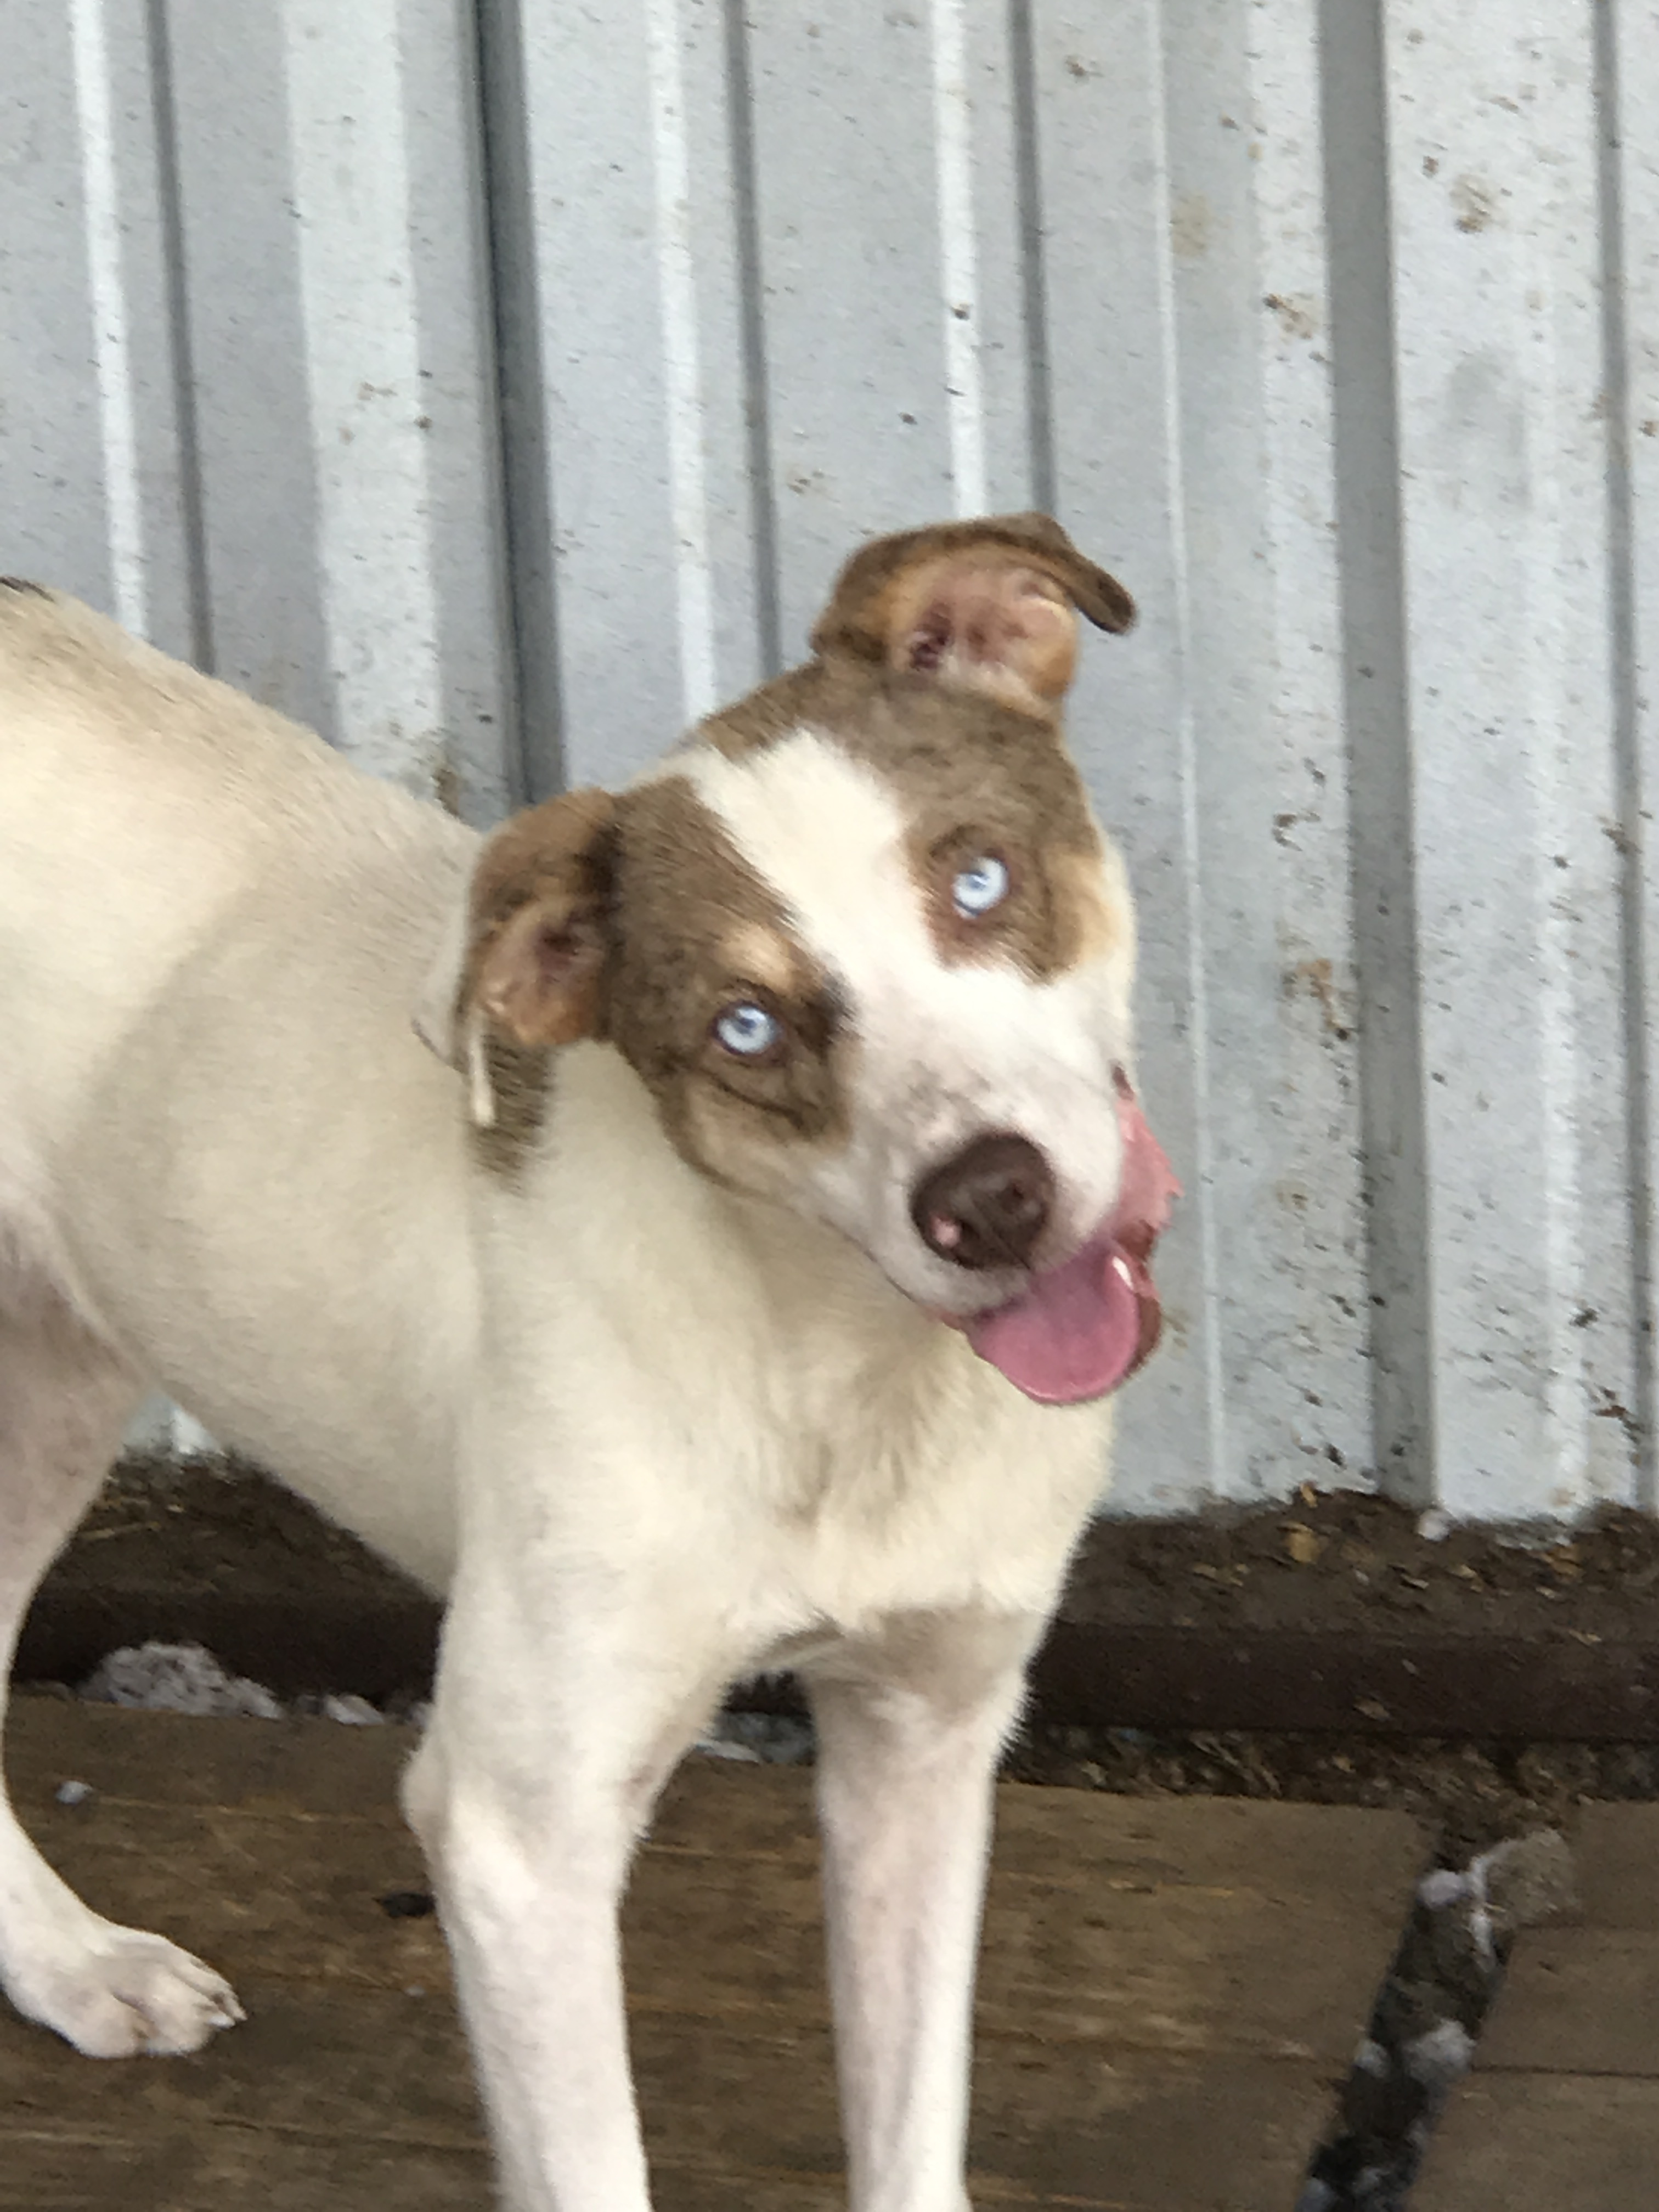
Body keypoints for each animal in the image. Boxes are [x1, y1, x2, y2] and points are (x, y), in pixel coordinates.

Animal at [0, 513, 1177, 2212]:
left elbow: (909, 2139)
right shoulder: (515, 1834)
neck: (829, 1375)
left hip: (56, 1377)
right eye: (745, 1027)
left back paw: (70, 1962)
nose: (991, 1200)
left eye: (979, 877)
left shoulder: (927, 1730)